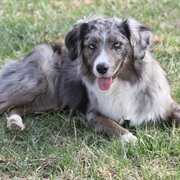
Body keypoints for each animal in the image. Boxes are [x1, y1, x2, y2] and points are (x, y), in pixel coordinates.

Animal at [0, 14, 180, 143]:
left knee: (17, 108)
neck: (122, 83)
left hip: (49, 100)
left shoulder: (165, 104)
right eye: (91, 46)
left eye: (117, 44)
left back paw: (15, 123)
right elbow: (113, 126)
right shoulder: (93, 113)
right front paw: (131, 139)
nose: (101, 68)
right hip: (35, 85)